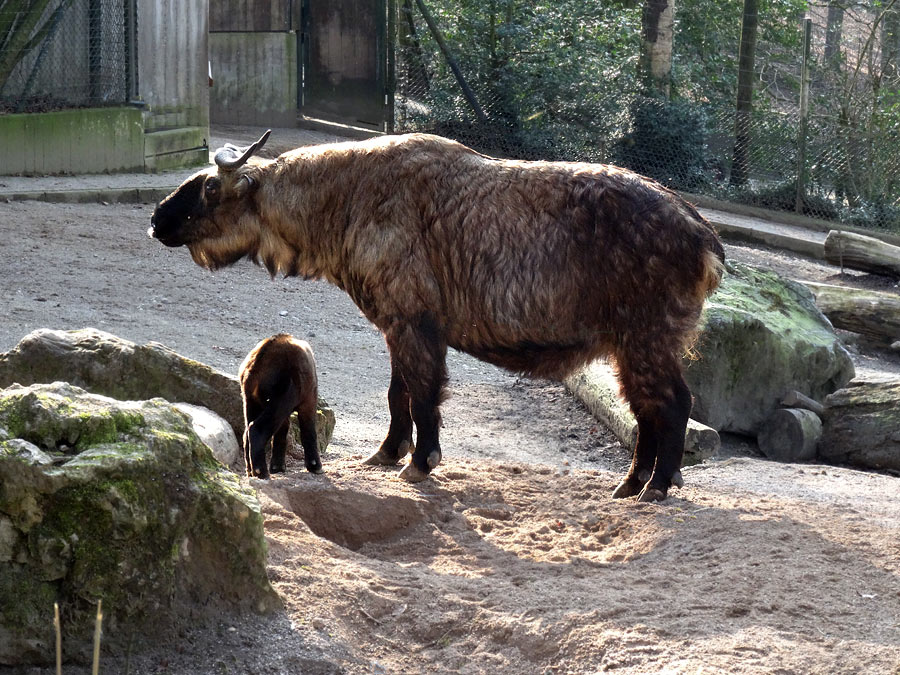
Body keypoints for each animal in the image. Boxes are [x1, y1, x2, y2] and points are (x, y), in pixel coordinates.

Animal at [239, 334, 324, 480]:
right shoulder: (308, 400)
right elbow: (309, 431)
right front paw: (314, 465)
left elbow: (281, 433)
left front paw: (277, 467)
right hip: (281, 399)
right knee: (256, 429)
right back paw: (261, 471)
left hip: (251, 401)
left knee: (247, 433)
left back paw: (250, 471)